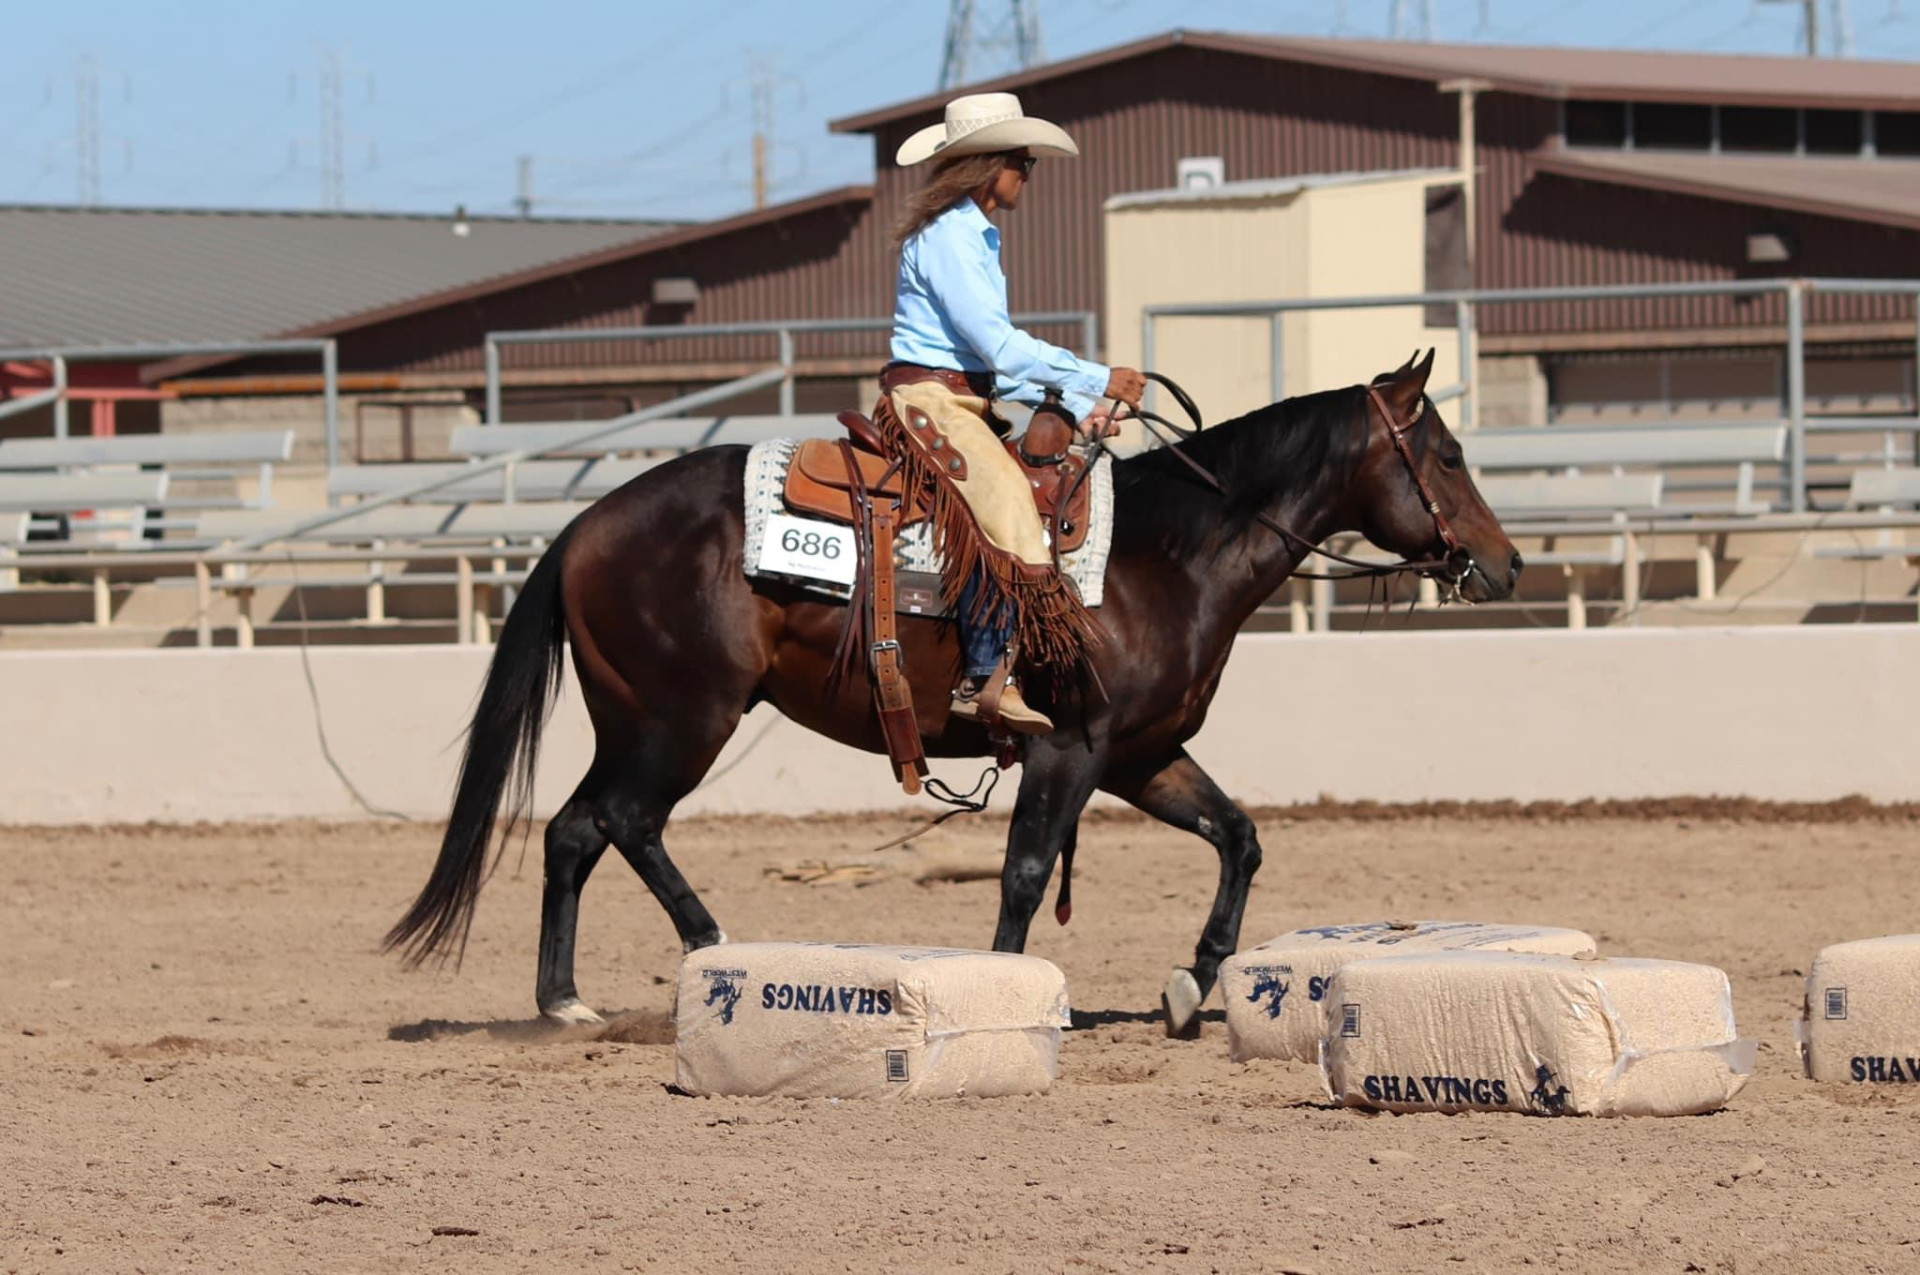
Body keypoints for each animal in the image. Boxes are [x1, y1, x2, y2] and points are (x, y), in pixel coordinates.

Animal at [389, 349, 1520, 1036]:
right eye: (1448, 453)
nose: (1505, 566)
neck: (1169, 552)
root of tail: (583, 526)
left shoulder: (1142, 753)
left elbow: (1238, 838)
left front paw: (1195, 984)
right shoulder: (1071, 748)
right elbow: (1023, 873)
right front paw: (1018, 995)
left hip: (638, 719)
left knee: (577, 830)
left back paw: (568, 999)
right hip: (679, 720)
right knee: (622, 822)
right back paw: (703, 950)